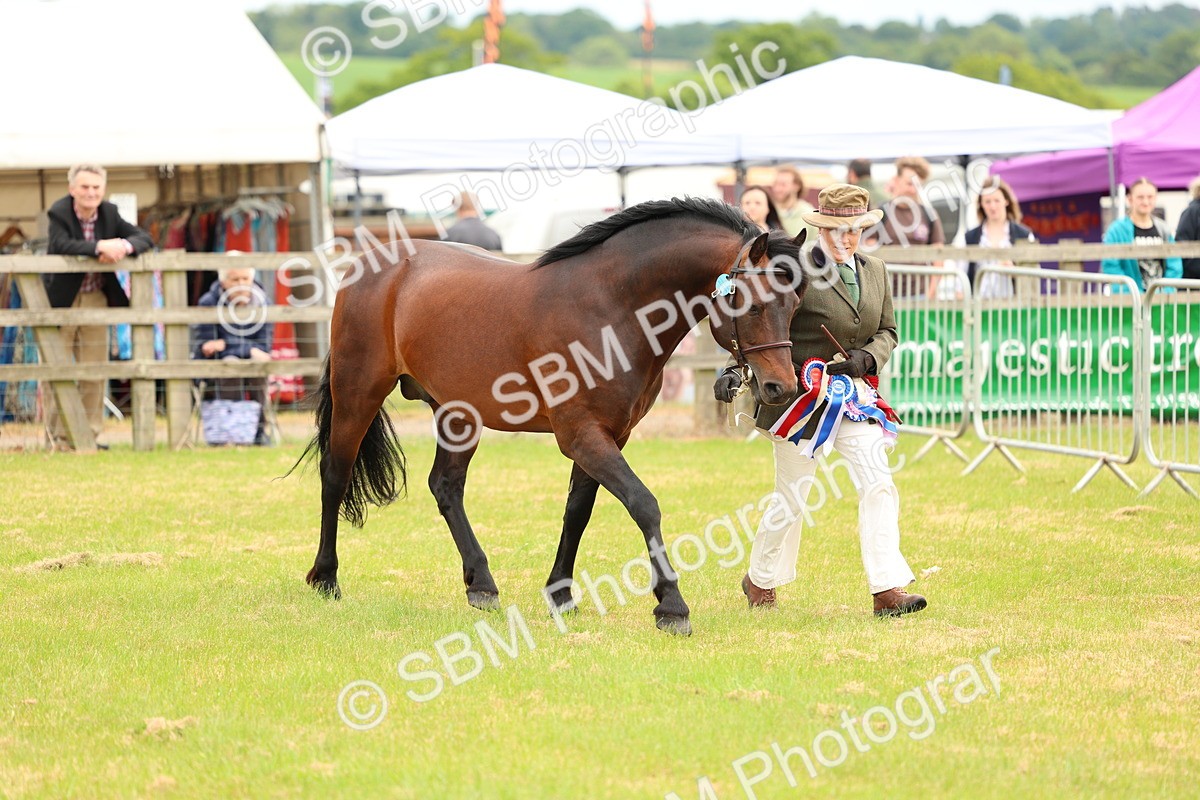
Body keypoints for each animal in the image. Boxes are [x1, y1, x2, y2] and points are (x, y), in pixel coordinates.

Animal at [292, 197, 808, 635]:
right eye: (753, 304)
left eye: (795, 304)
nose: (781, 388)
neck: (610, 306)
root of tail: (371, 264)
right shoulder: (581, 435)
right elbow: (644, 504)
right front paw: (671, 605)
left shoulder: (609, 435)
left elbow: (578, 511)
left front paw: (561, 594)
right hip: (358, 392)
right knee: (335, 474)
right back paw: (326, 577)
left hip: (457, 415)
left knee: (446, 487)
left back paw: (481, 584)